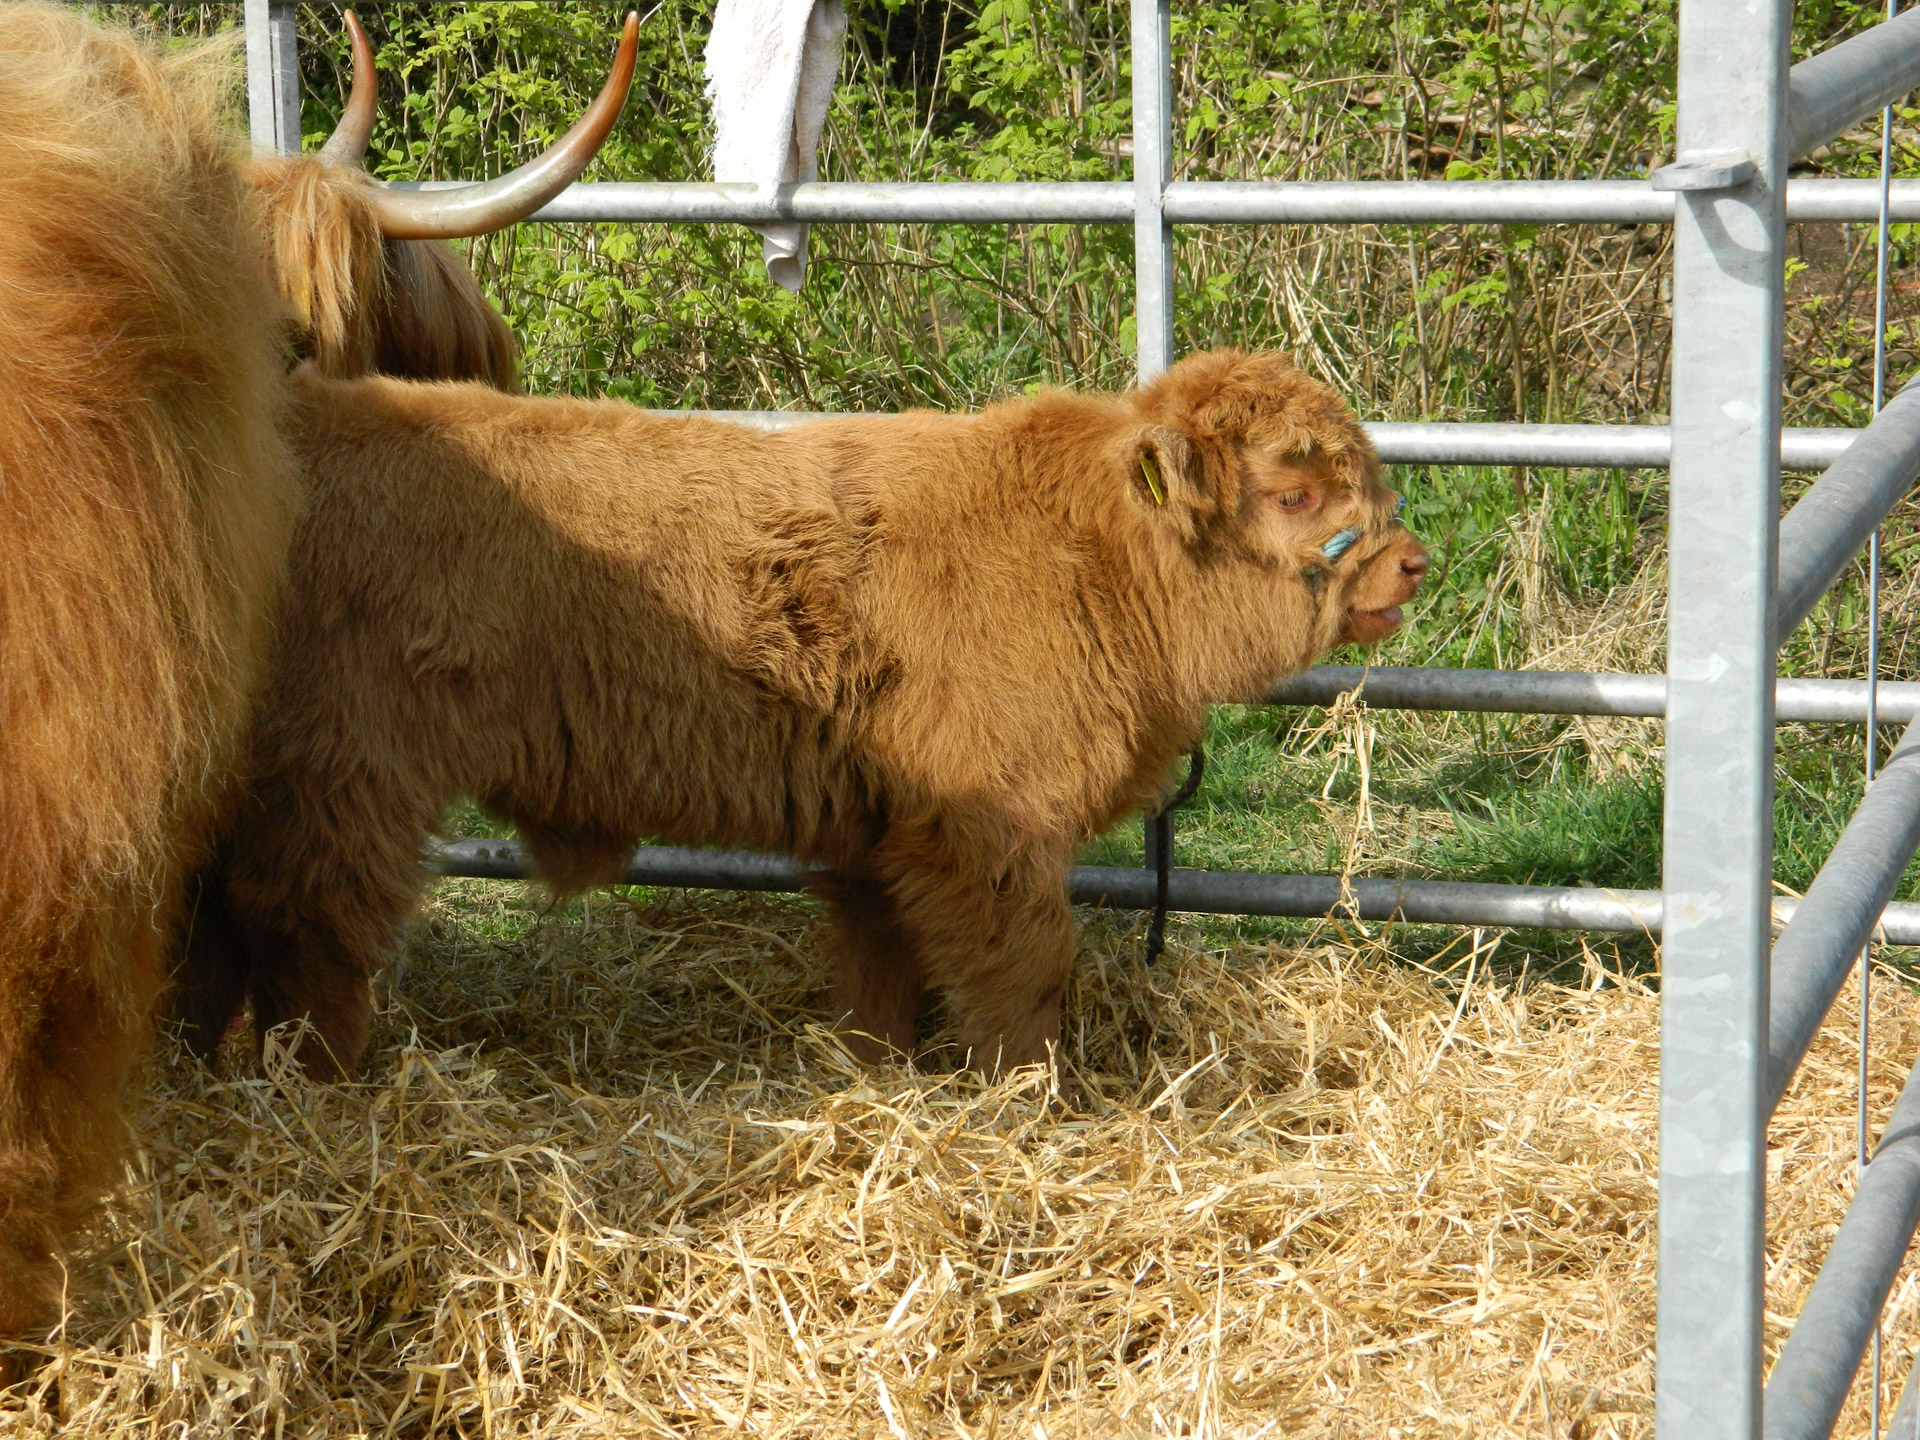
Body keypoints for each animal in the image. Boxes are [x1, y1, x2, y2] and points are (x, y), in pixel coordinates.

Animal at [183, 355, 1428, 1082]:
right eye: (1295, 491)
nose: (1411, 563)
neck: (1089, 552)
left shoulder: (882, 835)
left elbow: (885, 973)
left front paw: (878, 1078)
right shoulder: (994, 831)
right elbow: (1025, 978)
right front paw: (1034, 1096)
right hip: (344, 782)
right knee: (309, 934)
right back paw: (329, 1088)